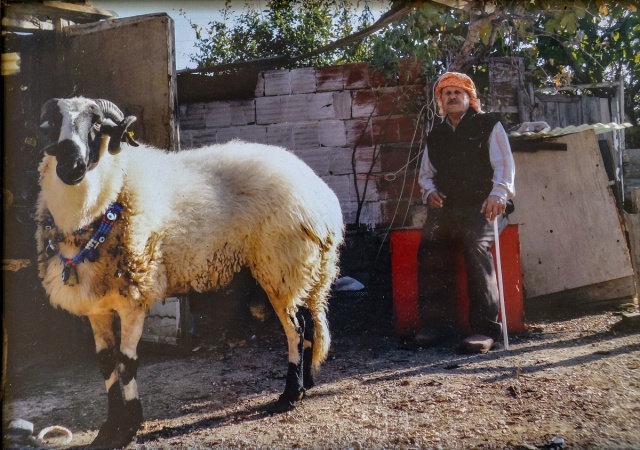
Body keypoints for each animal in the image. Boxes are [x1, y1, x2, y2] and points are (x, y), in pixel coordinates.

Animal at [35, 96, 344, 448]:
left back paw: (290, 395)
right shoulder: (96, 306)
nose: (71, 166)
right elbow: (105, 364)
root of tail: (322, 198)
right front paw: (109, 429)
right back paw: (307, 384)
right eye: (51, 126)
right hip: (303, 269)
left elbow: (126, 364)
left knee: (296, 328)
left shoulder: (134, 298)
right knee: (309, 321)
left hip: (280, 264)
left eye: (96, 127)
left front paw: (130, 426)